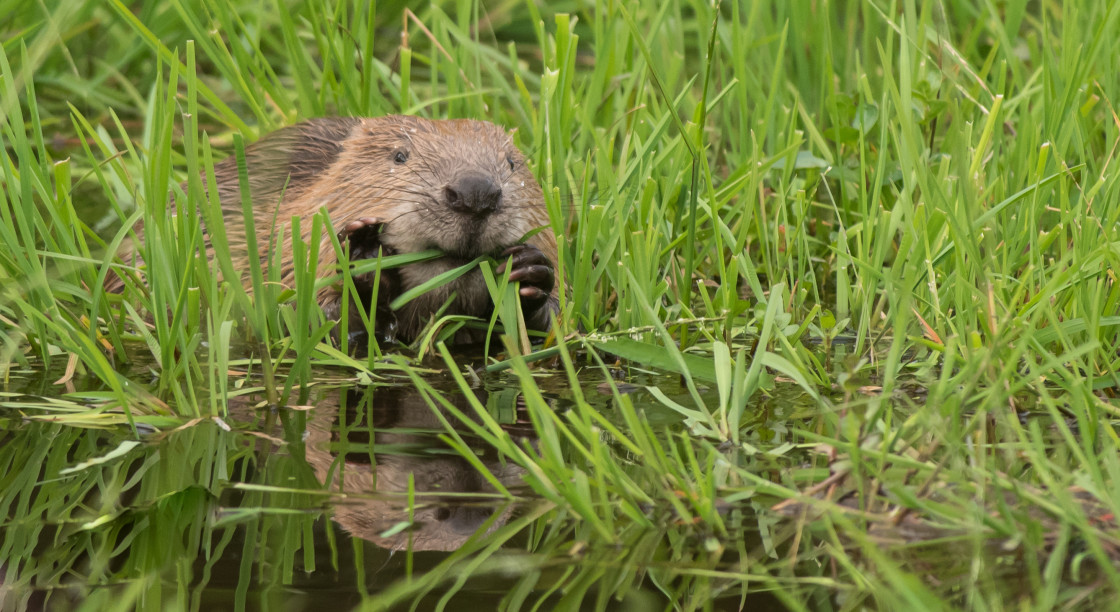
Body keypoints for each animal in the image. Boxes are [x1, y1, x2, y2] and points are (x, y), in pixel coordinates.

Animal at [109, 115, 555, 342]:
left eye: (512, 163)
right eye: (400, 156)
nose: (475, 192)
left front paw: (531, 273)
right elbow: (305, 321)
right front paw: (365, 257)